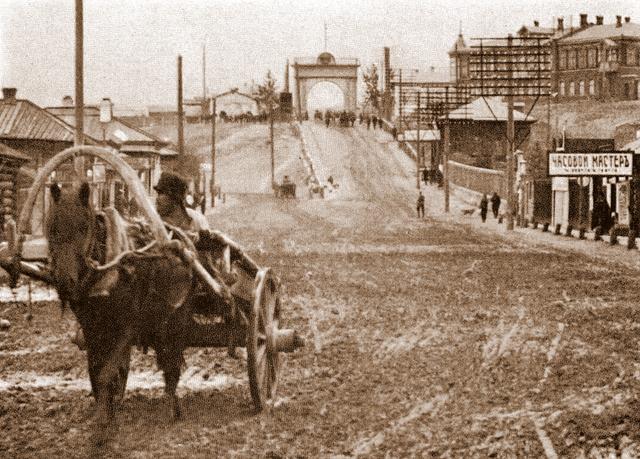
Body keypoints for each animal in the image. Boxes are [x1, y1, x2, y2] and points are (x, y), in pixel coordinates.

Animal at [46, 181, 195, 436]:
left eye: (83, 227)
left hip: (175, 321)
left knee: (171, 362)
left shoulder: (127, 327)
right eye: (53, 227)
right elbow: (97, 371)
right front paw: (106, 412)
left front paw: (102, 427)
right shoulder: (92, 329)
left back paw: (171, 407)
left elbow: (107, 373)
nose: (65, 282)